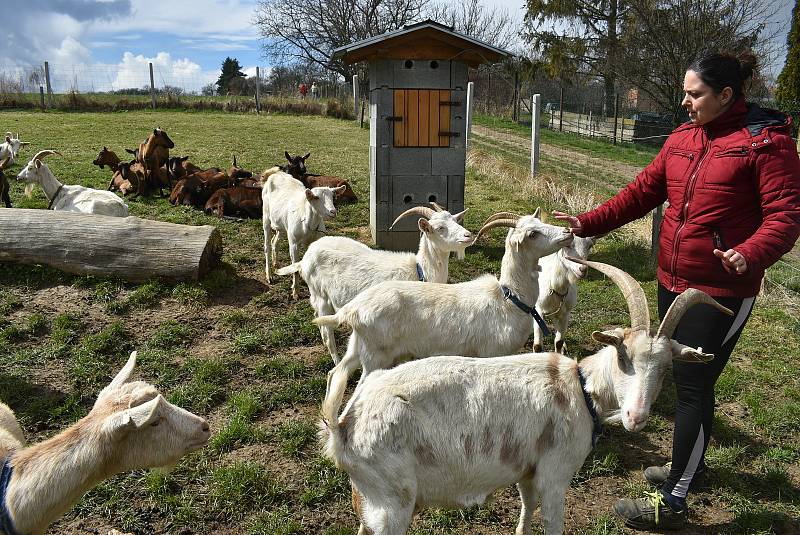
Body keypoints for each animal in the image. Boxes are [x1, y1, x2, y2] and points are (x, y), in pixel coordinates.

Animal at [276, 203, 476, 362]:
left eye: (456, 220)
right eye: (440, 227)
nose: (468, 235)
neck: (420, 271)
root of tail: (305, 258)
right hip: (320, 295)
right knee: (327, 335)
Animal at [316, 209, 572, 428]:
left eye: (538, 222)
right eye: (532, 233)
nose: (568, 232)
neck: (509, 299)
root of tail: (353, 309)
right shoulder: (491, 353)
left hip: (359, 346)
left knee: (337, 372)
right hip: (375, 357)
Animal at [322, 262, 736, 535]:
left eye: (666, 367)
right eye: (623, 356)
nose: (636, 417)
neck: (578, 387)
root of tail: (344, 425)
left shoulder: (527, 470)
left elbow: (525, 508)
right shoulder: (555, 474)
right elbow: (551, 522)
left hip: (373, 501)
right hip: (394, 503)